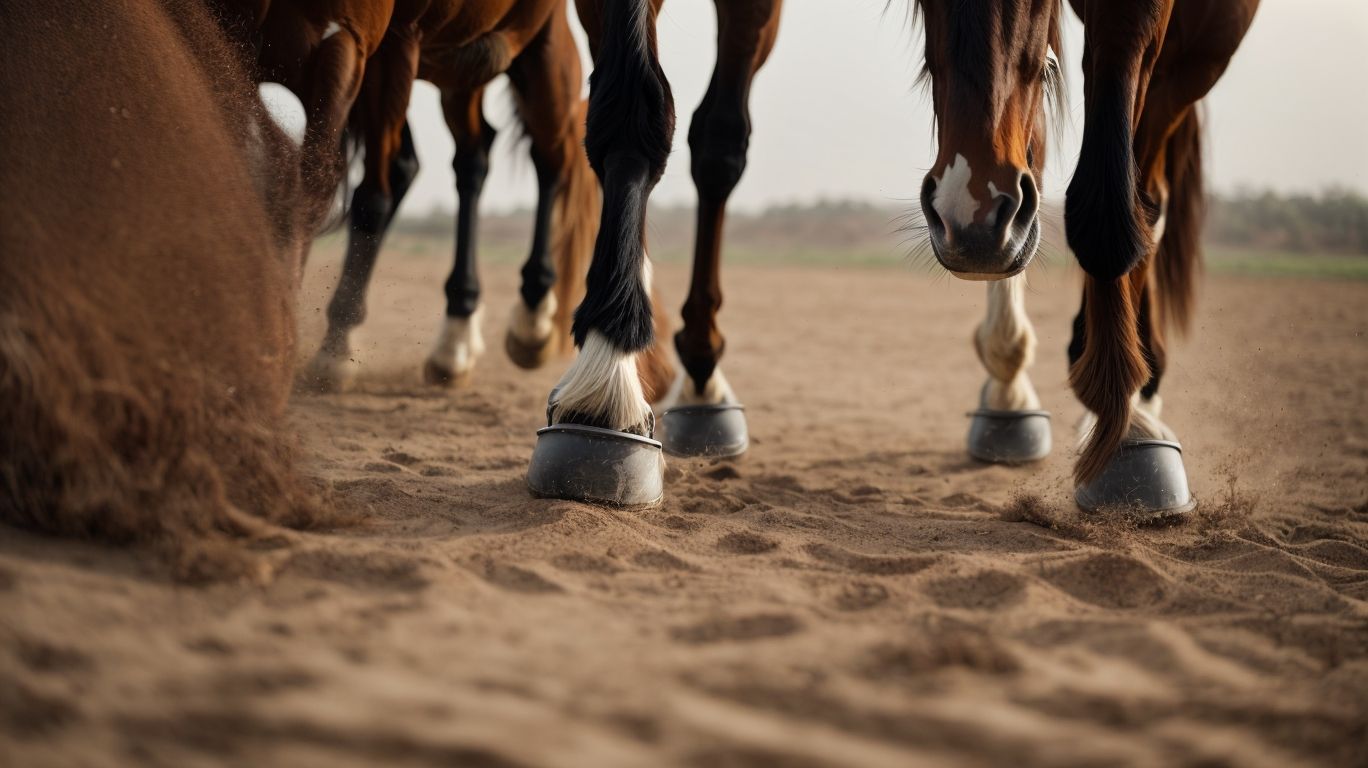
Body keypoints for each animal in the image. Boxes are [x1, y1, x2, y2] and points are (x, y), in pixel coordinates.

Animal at [296, 0, 622, 393]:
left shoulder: (391, 42)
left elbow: (370, 195)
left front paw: (335, 351)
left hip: (537, 51)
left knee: (550, 154)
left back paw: (531, 321)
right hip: (463, 66)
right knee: (470, 156)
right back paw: (456, 339)